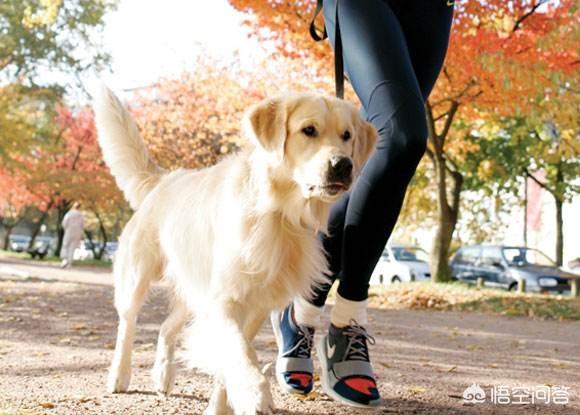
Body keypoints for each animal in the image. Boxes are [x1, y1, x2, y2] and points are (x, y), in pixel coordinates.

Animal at [93, 85, 378, 415]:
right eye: (309, 130)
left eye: (347, 135)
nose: (343, 165)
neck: (279, 214)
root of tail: (164, 180)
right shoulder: (225, 300)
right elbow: (239, 352)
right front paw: (254, 393)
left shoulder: (255, 304)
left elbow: (231, 357)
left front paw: (221, 405)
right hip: (138, 277)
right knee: (127, 324)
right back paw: (119, 374)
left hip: (193, 289)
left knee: (166, 327)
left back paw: (163, 375)